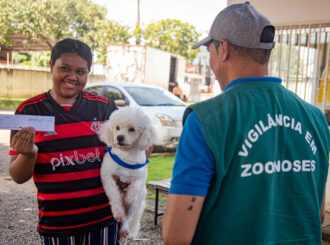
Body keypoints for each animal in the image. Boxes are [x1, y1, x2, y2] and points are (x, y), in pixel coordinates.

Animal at [97, 106, 157, 239]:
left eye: (132, 129)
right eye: (117, 128)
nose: (119, 137)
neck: (126, 156)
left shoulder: (140, 178)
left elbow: (134, 187)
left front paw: (128, 198)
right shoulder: (108, 176)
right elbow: (114, 196)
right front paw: (118, 212)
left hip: (137, 203)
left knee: (128, 218)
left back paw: (124, 229)